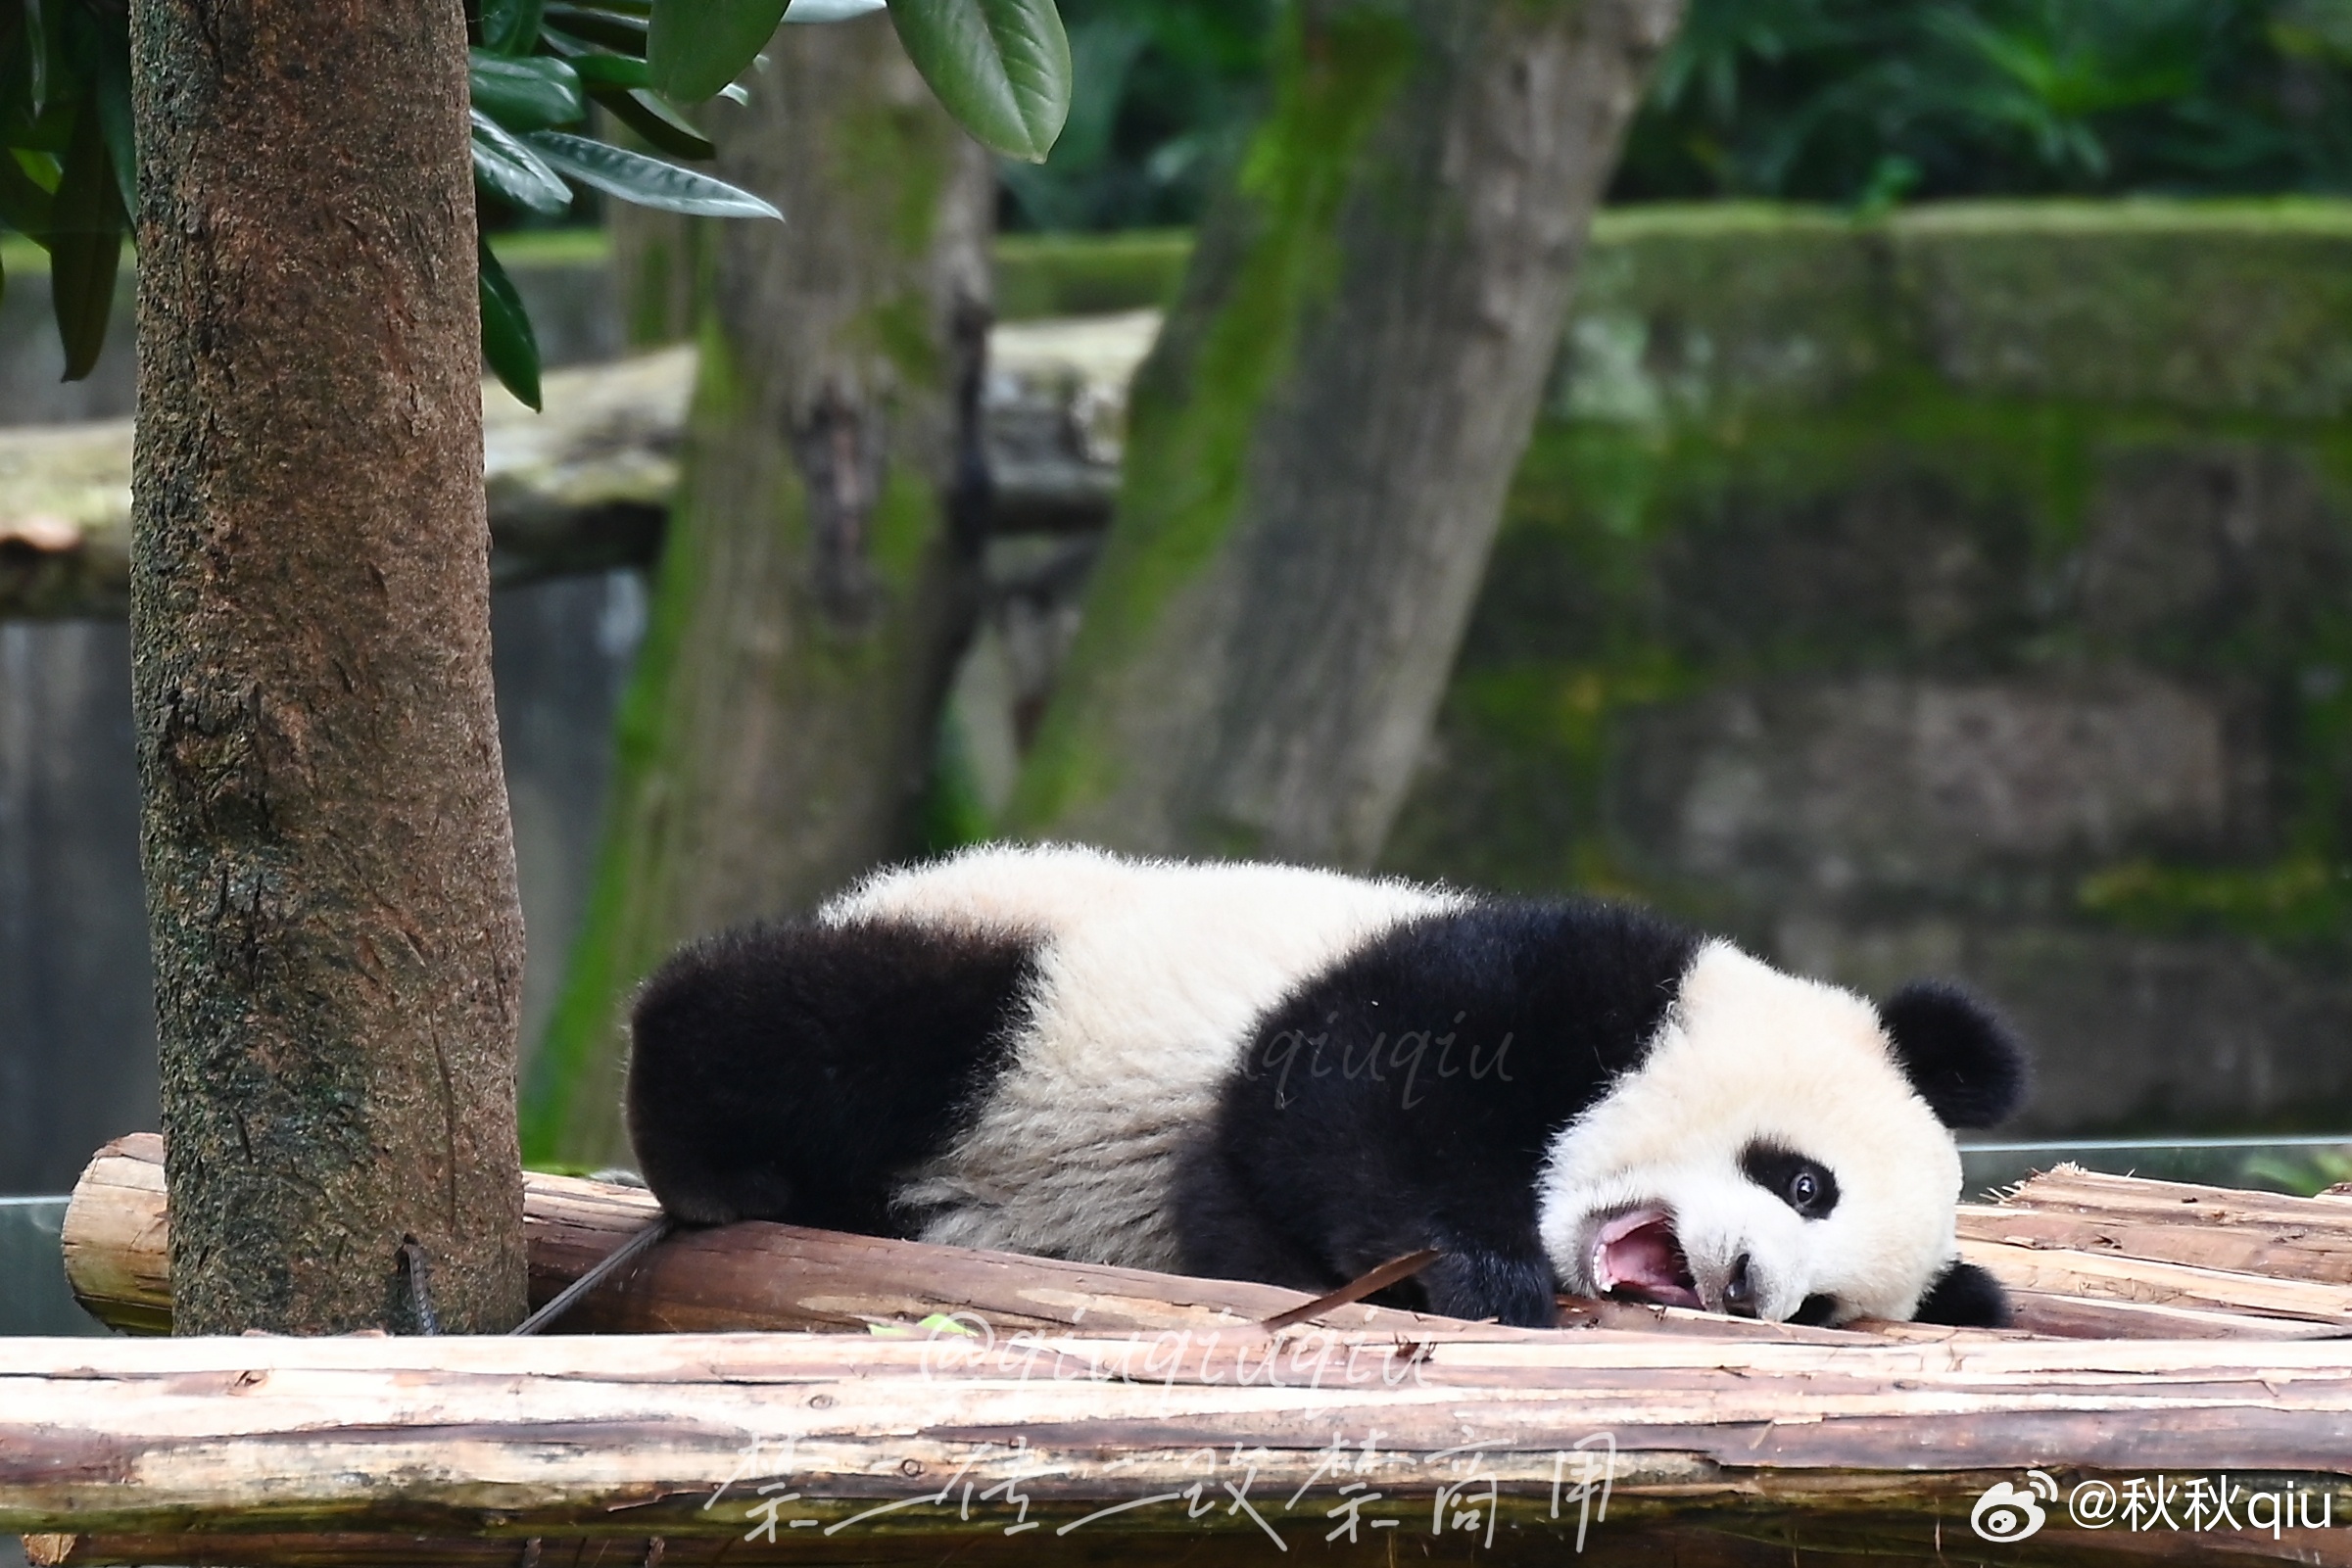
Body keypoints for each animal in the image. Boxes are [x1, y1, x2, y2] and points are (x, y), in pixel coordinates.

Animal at [625, 846, 2022, 1325]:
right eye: (1804, 1179)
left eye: (1824, 1307)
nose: (1748, 1288)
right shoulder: (1534, 972)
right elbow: (1339, 1097)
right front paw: (1478, 1269)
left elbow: (1245, 1202)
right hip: (1035, 983)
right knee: (844, 1023)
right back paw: (705, 1144)